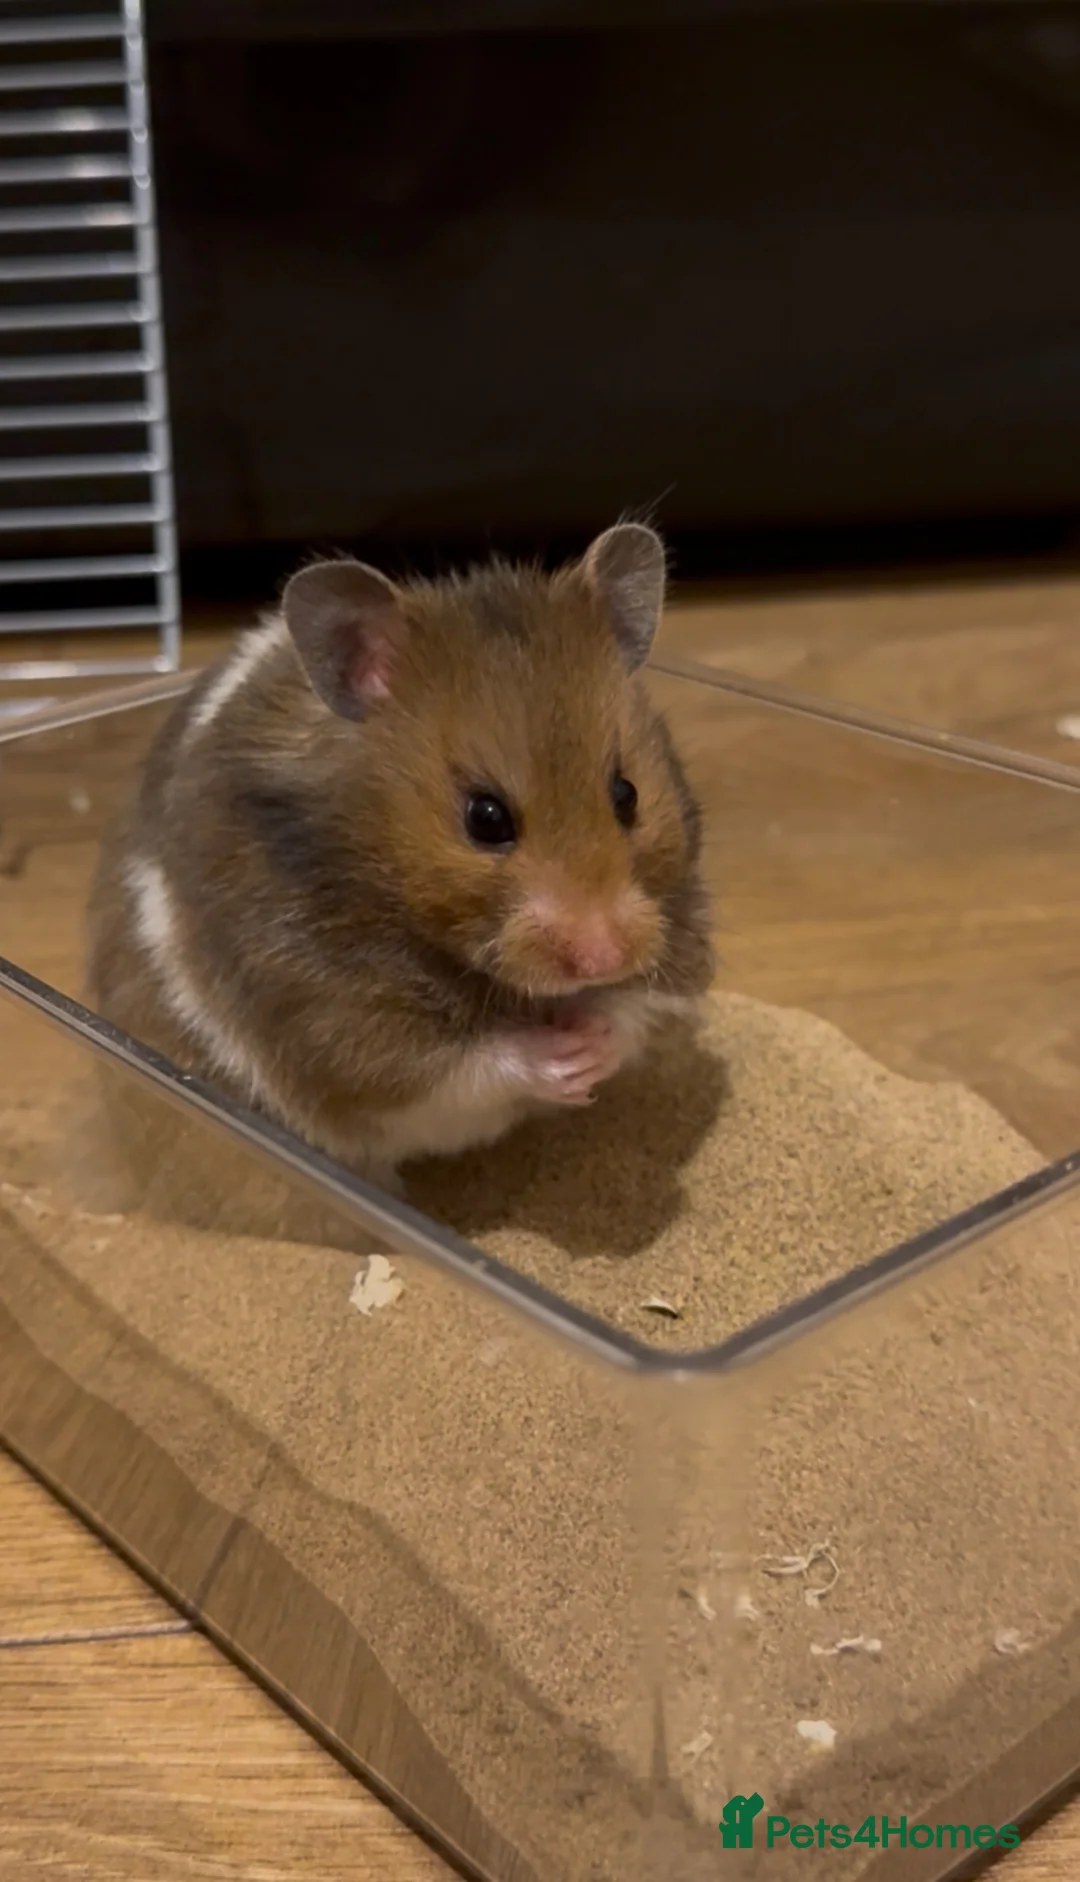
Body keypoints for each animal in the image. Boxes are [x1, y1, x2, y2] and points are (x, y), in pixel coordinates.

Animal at [86, 522, 714, 1199]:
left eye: (626, 795)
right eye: (485, 819)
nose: (603, 957)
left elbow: (638, 1011)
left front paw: (593, 1042)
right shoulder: (339, 1029)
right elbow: (459, 1067)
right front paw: (561, 1059)